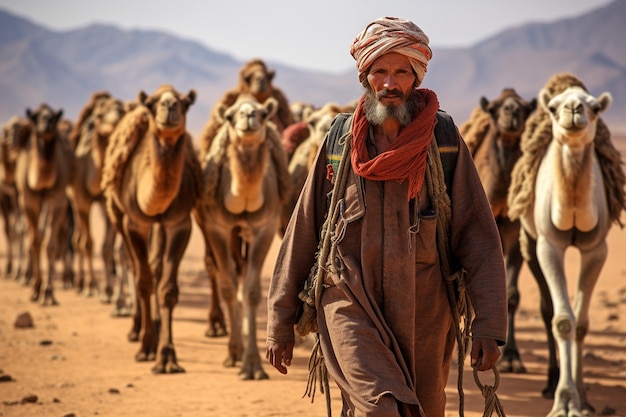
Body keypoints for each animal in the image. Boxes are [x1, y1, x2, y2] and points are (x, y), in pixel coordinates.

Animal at [12, 103, 74, 306]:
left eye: (53, 117)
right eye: (36, 117)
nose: (47, 122)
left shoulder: (57, 200)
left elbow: (50, 245)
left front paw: (48, 293)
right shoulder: (27, 201)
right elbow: (35, 242)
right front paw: (35, 290)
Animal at [66, 90, 127, 300]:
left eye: (121, 106)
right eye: (101, 112)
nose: (119, 110)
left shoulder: (108, 203)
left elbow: (106, 247)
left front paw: (108, 291)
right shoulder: (82, 200)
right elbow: (88, 244)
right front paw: (91, 288)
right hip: (74, 203)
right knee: (78, 241)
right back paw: (80, 284)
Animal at [100, 83, 200, 372]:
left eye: (185, 102)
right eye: (152, 104)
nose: (169, 106)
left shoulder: (179, 223)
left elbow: (167, 288)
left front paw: (167, 356)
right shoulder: (136, 223)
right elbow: (143, 281)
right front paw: (146, 348)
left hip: (160, 227)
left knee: (154, 268)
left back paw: (155, 326)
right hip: (119, 217)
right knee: (135, 266)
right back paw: (137, 329)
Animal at [197, 92, 290, 378]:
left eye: (263, 113)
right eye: (229, 116)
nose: (248, 116)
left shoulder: (264, 228)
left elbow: (251, 291)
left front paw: (253, 365)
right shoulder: (216, 227)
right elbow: (227, 287)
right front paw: (233, 353)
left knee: (242, 273)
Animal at [504, 73, 620, 414]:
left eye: (595, 107)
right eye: (554, 108)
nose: (573, 109)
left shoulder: (598, 249)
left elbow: (581, 323)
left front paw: (582, 397)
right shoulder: (548, 245)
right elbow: (563, 320)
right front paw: (565, 401)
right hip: (530, 243)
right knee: (546, 308)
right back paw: (550, 383)